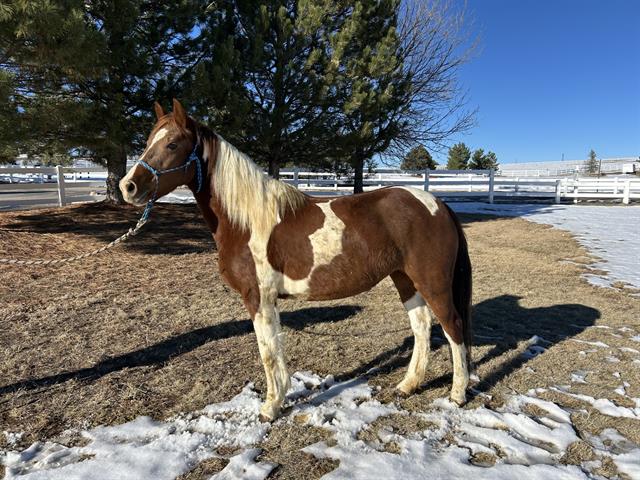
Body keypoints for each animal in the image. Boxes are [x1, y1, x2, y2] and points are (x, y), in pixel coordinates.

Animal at [120, 100, 472, 420]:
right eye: (148, 141)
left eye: (172, 144)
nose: (129, 186)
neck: (247, 220)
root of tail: (437, 204)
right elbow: (272, 350)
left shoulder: (259, 298)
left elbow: (268, 353)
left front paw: (270, 408)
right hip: (405, 278)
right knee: (422, 328)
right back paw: (407, 386)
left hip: (432, 281)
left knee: (453, 326)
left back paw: (457, 394)